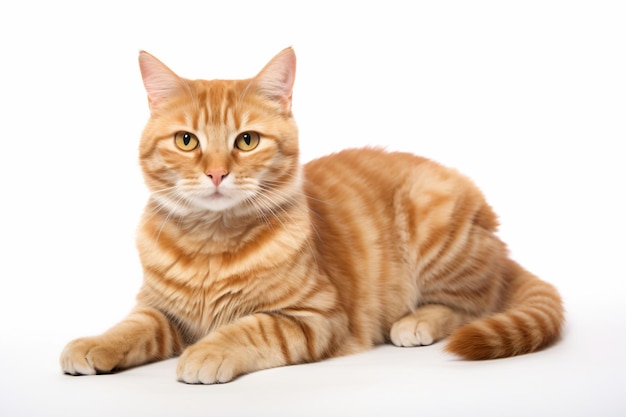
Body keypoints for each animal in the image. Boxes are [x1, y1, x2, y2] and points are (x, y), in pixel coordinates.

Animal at [61, 47, 564, 382]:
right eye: (187, 141)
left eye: (247, 140)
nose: (217, 173)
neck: (211, 243)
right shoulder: (161, 311)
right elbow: (131, 327)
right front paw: (95, 343)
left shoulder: (314, 318)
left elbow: (250, 328)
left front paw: (208, 352)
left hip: (432, 216)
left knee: (471, 305)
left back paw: (416, 322)